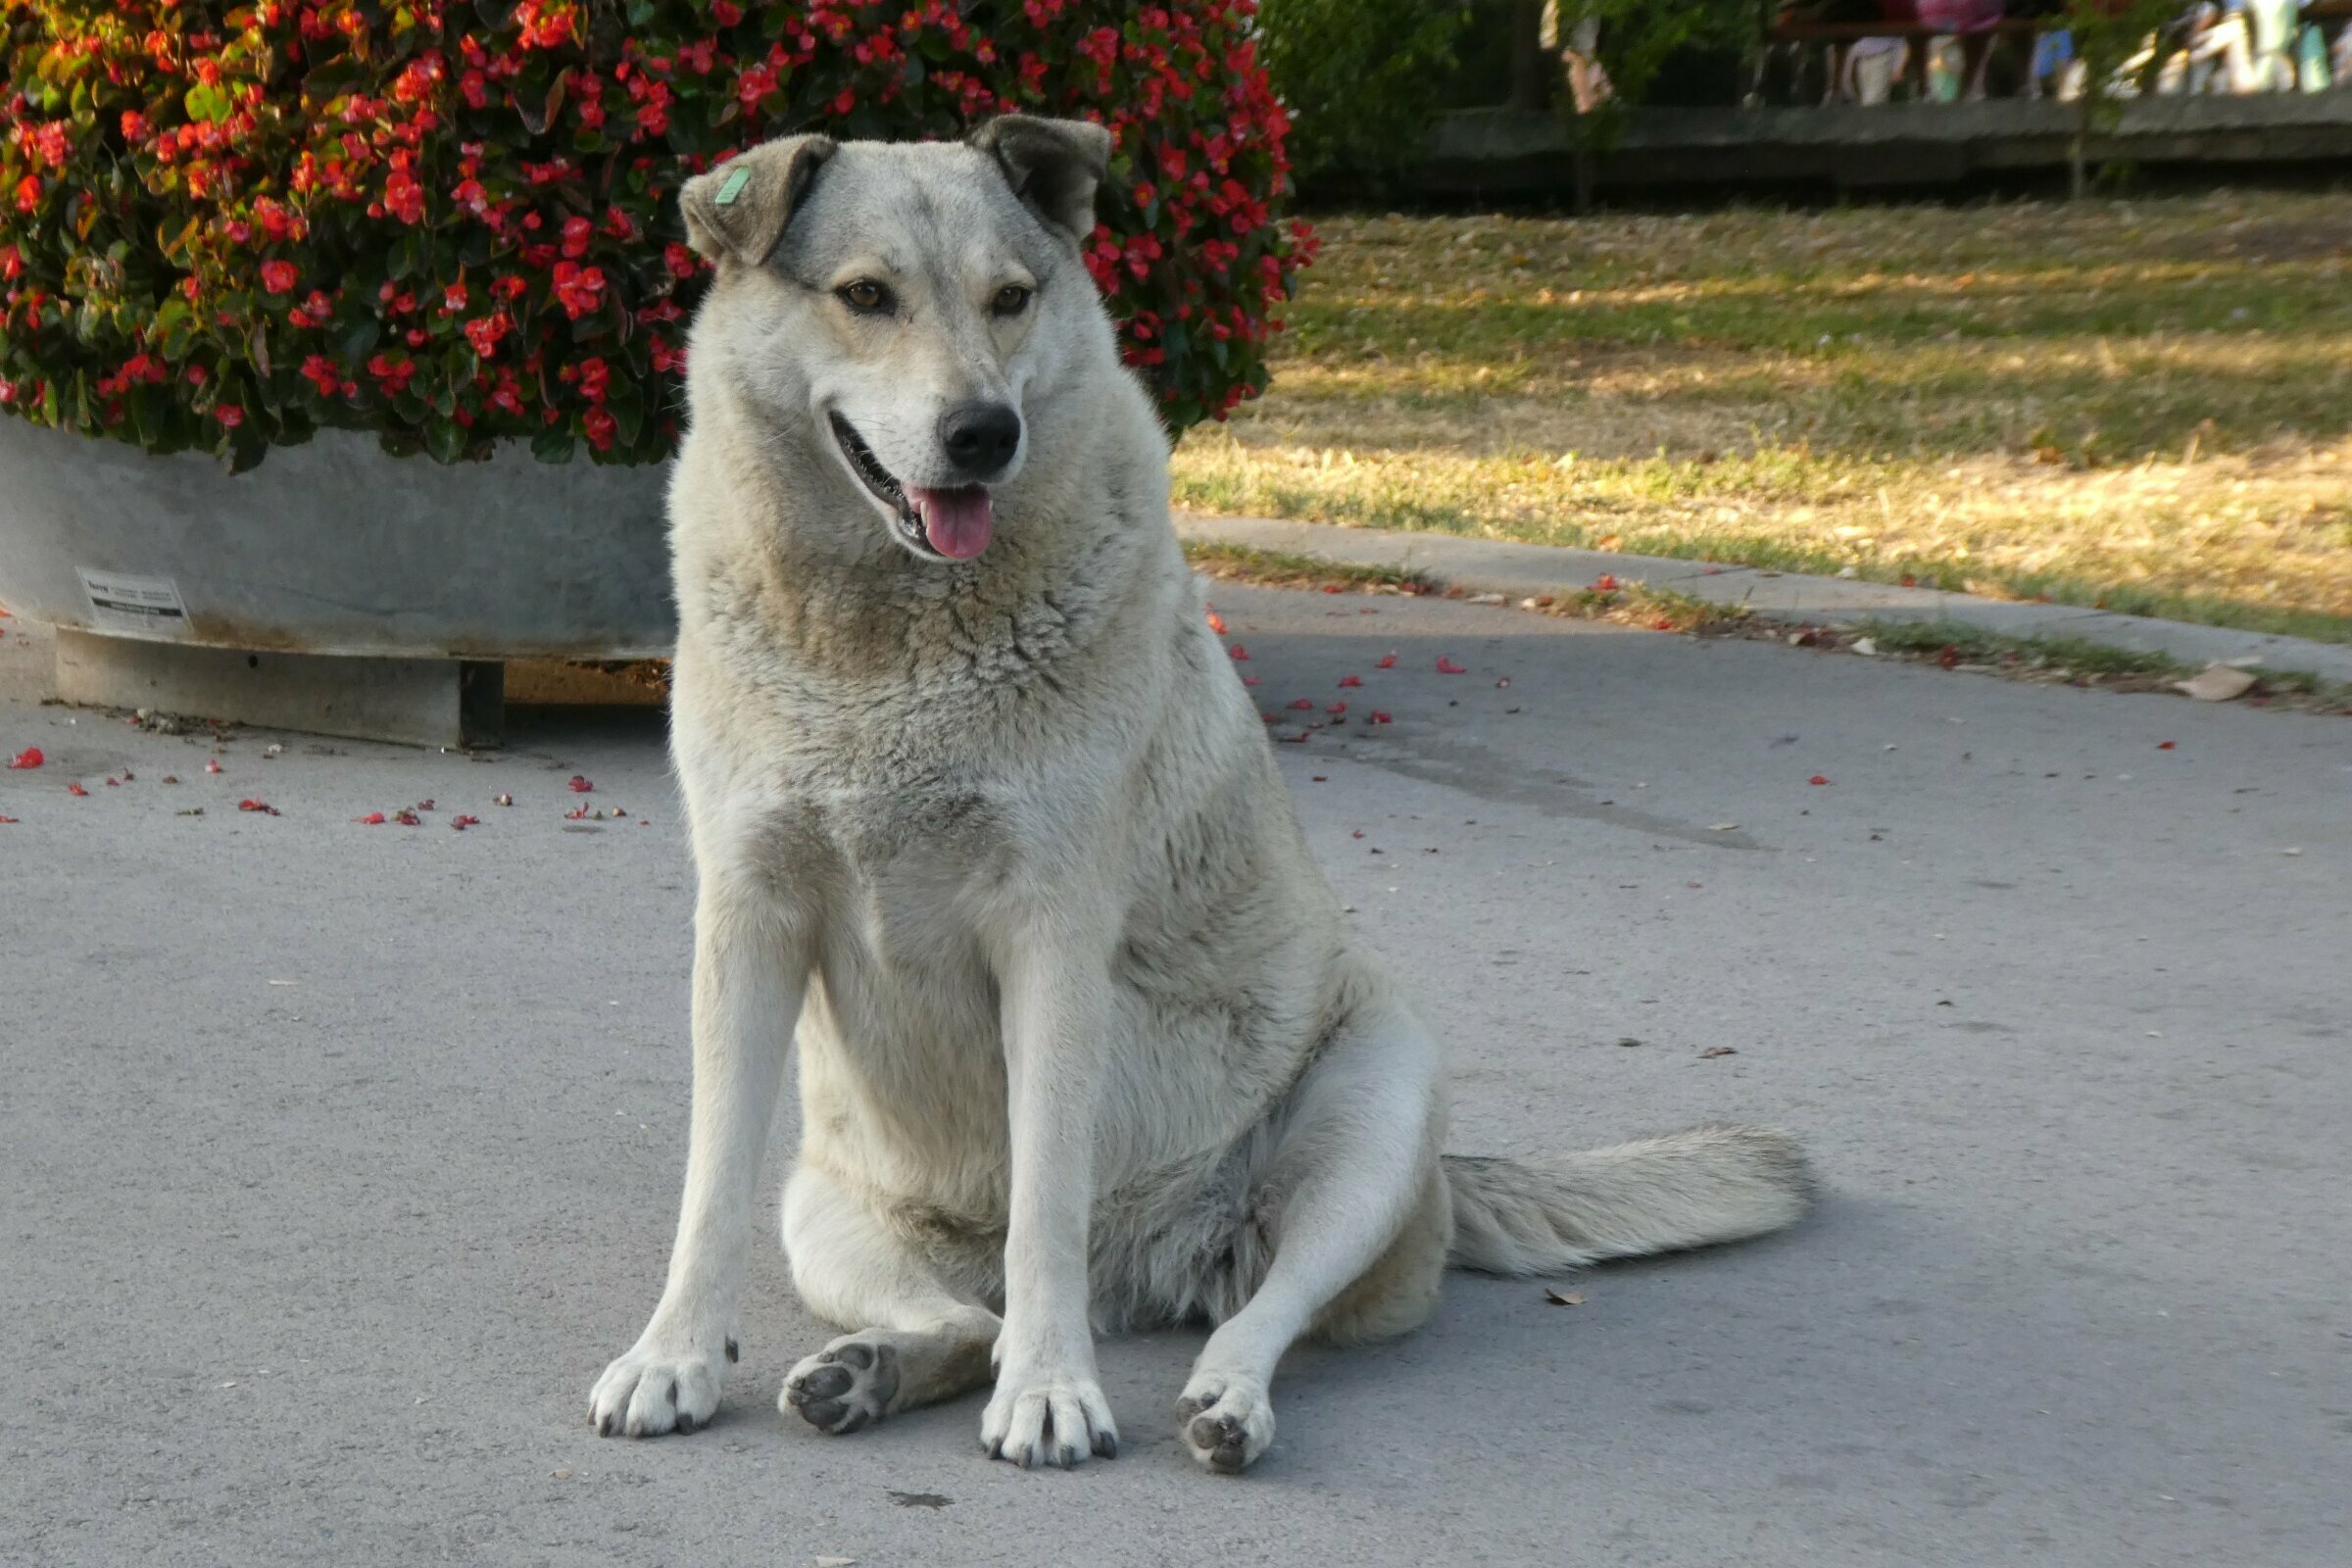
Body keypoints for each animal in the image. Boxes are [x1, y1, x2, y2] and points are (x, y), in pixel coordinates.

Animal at [592, 116, 1815, 1476]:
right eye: (865, 296)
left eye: (1011, 299)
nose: (984, 433)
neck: (883, 649)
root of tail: (1148, 1268)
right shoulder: (748, 921)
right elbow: (708, 1187)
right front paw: (674, 1356)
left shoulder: (1052, 940)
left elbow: (1048, 1199)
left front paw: (1054, 1389)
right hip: (829, 1213)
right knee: (964, 1319)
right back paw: (871, 1369)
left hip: (1371, 1116)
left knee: (1249, 1312)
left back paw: (1216, 1400)